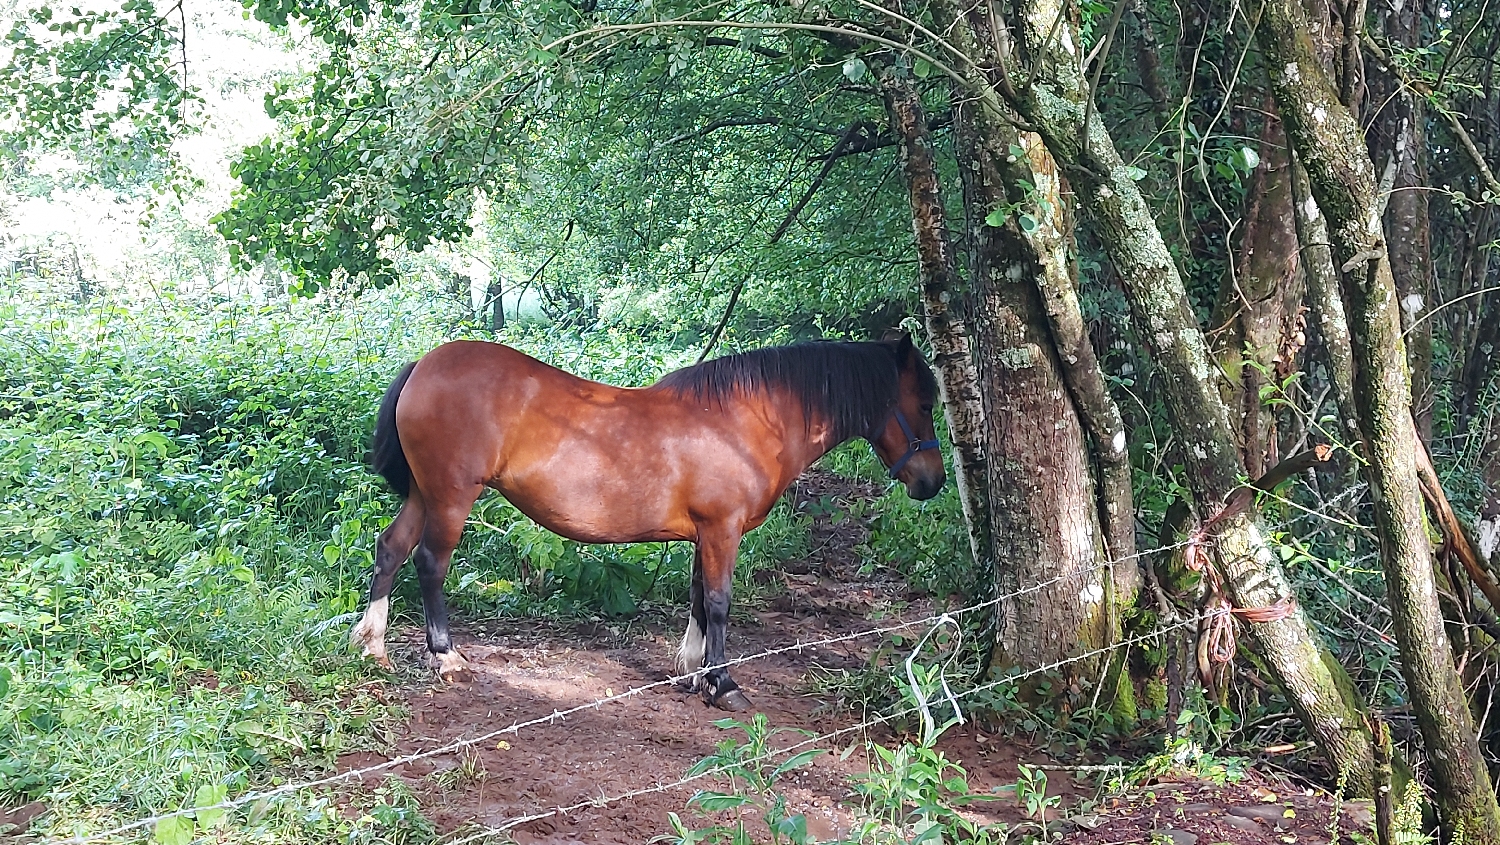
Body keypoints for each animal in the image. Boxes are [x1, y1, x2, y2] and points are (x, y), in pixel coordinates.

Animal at [351, 334, 942, 711]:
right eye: (924, 403)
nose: (932, 481)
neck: (746, 422)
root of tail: (424, 364)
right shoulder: (722, 529)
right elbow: (720, 602)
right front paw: (722, 683)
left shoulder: (707, 533)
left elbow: (700, 598)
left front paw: (694, 671)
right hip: (451, 496)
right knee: (430, 563)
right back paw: (446, 657)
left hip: (425, 494)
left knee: (390, 548)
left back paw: (373, 644)